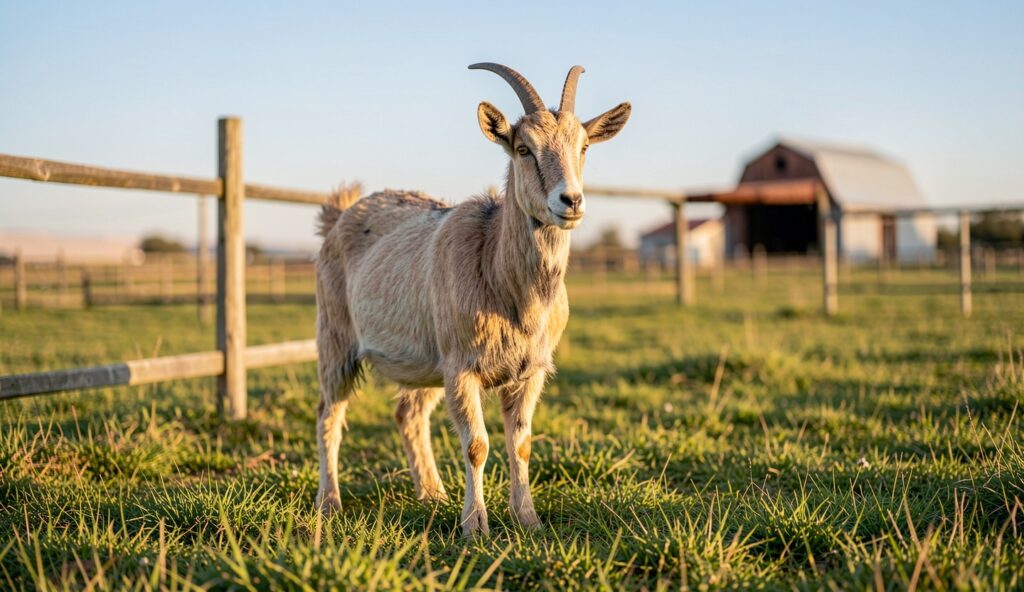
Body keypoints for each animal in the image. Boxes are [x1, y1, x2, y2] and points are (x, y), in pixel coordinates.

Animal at [315, 63, 631, 535]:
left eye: (585, 146)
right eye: (523, 148)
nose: (570, 200)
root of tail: (338, 215)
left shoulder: (529, 371)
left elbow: (521, 445)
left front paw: (528, 520)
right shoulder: (461, 366)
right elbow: (477, 446)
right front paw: (474, 526)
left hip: (426, 360)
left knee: (409, 415)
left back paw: (432, 494)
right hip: (335, 337)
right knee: (328, 414)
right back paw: (329, 503)